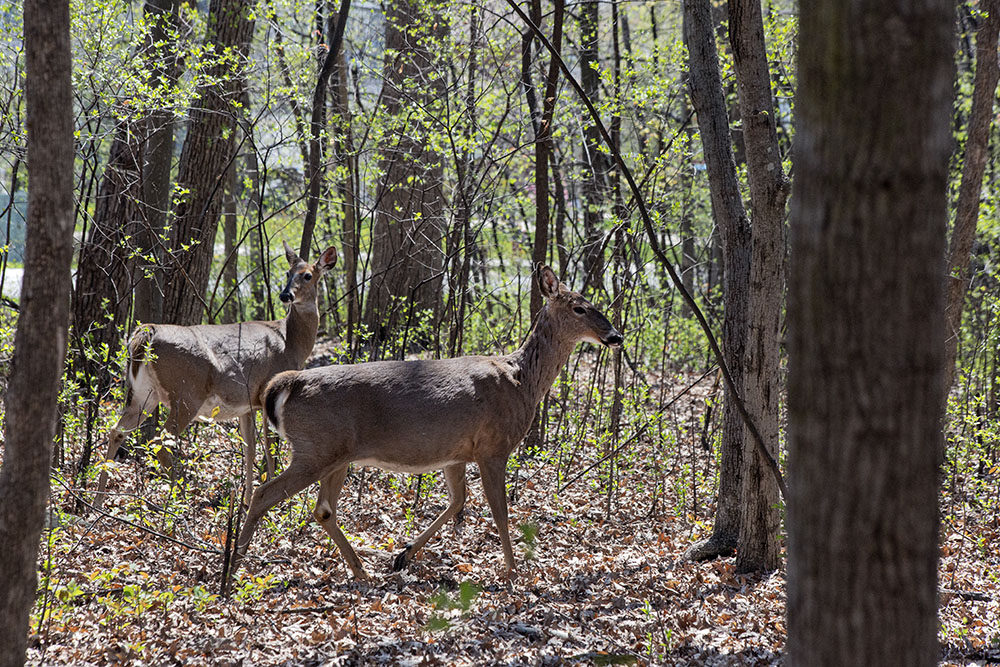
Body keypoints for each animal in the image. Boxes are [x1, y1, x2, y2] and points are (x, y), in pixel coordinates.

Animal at [95, 243, 342, 508]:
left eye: (306, 275)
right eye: (288, 273)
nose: (286, 295)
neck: (290, 341)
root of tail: (146, 332)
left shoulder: (247, 404)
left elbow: (250, 448)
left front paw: (246, 499)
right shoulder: (268, 389)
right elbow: (269, 449)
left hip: (143, 393)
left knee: (117, 430)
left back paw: (98, 500)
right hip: (186, 393)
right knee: (159, 441)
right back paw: (181, 498)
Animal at [225, 266, 624, 588]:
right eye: (580, 307)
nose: (616, 336)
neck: (521, 381)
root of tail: (287, 384)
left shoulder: (456, 453)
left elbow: (457, 501)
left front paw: (403, 555)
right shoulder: (493, 446)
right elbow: (499, 512)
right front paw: (514, 572)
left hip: (335, 454)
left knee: (322, 509)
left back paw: (361, 570)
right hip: (316, 448)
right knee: (263, 494)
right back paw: (232, 567)